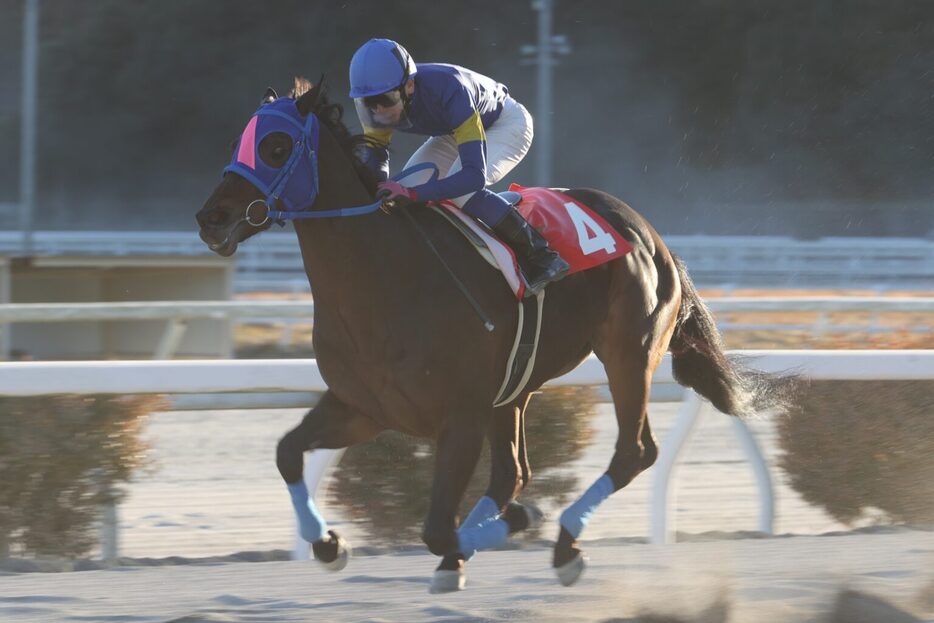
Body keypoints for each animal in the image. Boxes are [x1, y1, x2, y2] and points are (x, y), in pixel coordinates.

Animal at [197, 80, 796, 592]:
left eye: (275, 146)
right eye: (239, 141)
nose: (210, 219)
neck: (382, 280)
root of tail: (650, 232)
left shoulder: (459, 417)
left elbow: (436, 527)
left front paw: (492, 535)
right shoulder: (364, 406)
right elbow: (287, 453)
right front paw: (327, 543)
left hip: (629, 354)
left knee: (633, 452)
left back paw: (564, 543)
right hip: (516, 388)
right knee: (512, 474)